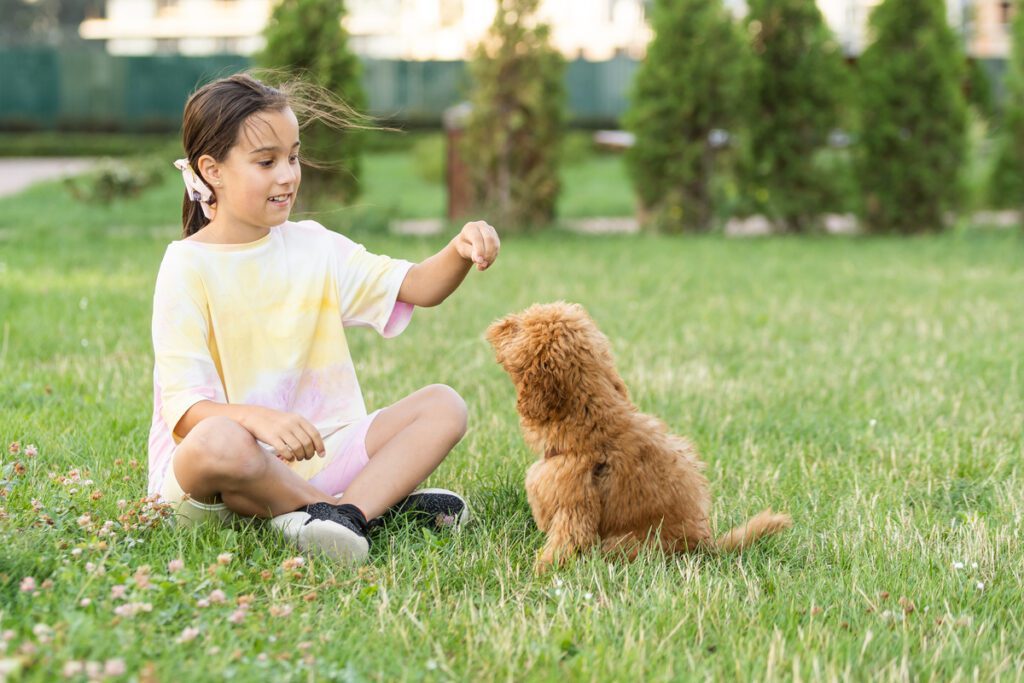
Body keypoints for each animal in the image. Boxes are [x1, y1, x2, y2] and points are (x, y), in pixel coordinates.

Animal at [487, 301, 790, 573]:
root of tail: (705, 546)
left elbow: (564, 545)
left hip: (622, 544)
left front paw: (538, 573)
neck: (591, 421)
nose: (497, 324)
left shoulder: (574, 508)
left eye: (519, 327)